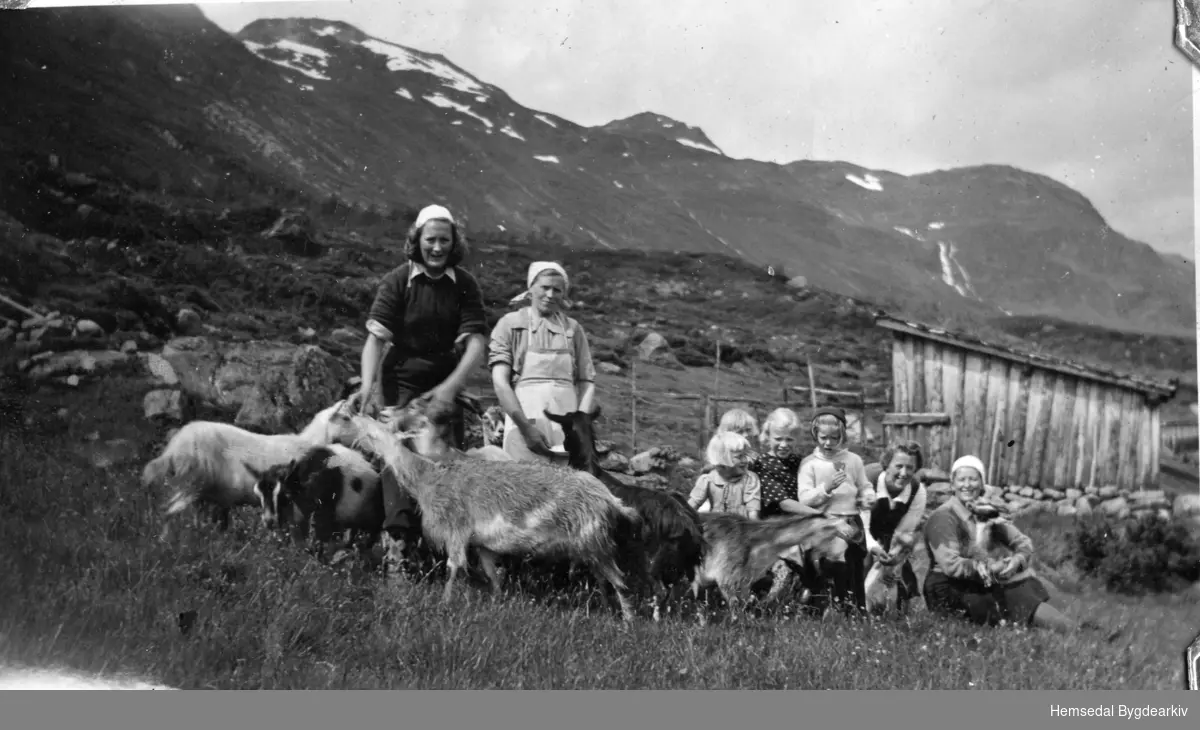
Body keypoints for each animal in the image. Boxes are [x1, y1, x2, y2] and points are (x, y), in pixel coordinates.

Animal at [350, 413, 648, 619]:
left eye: (375, 432)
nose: (357, 418)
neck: (429, 477)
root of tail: (611, 499)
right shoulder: (483, 545)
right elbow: (492, 576)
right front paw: (497, 604)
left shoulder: (456, 530)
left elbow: (453, 567)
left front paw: (445, 603)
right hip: (591, 546)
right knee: (603, 580)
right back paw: (607, 612)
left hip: (595, 542)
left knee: (619, 581)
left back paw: (628, 622)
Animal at [542, 405, 705, 619]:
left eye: (564, 429)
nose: (563, 444)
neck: (591, 470)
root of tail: (686, 522)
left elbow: (601, 580)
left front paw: (606, 610)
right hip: (685, 564)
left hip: (651, 561)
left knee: (660, 590)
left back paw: (654, 619)